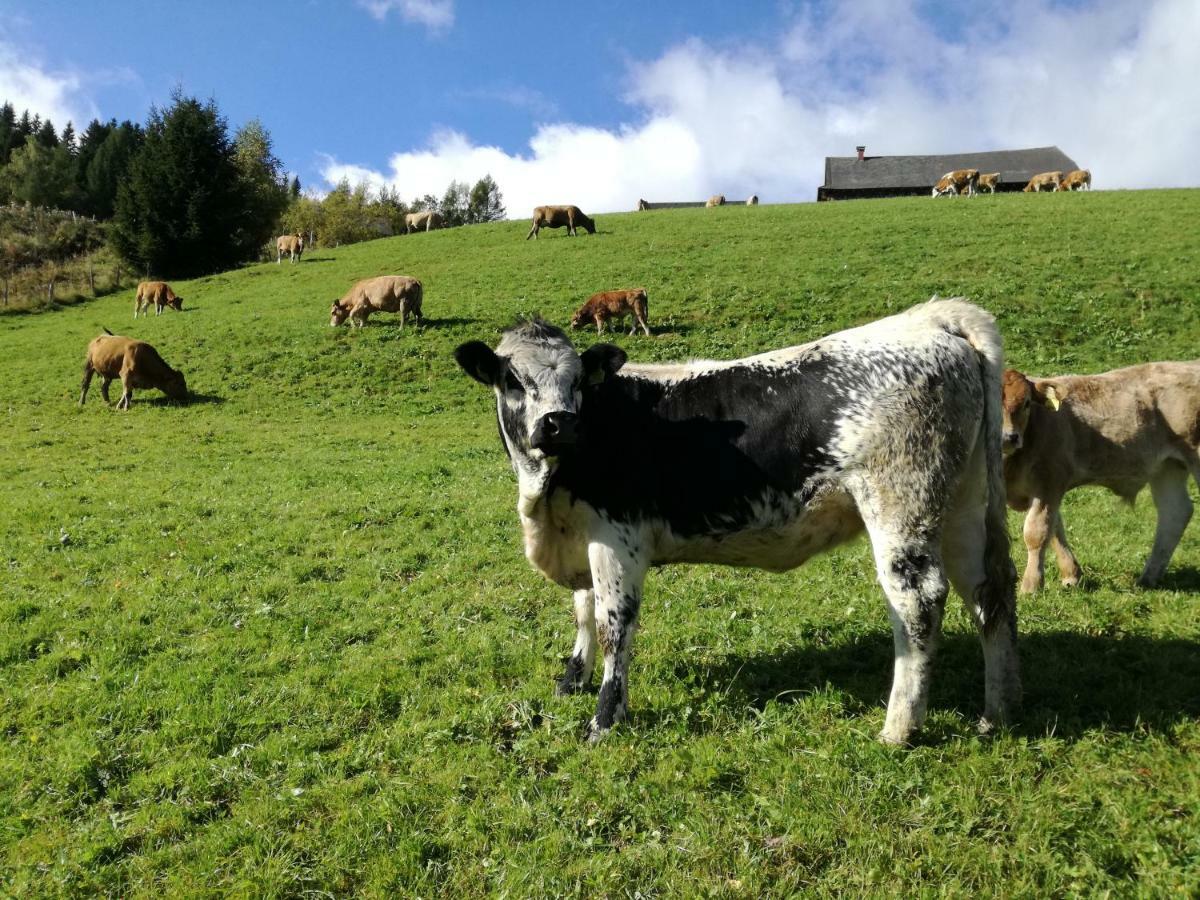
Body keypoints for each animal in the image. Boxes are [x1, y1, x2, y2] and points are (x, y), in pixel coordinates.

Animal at [453, 297, 1017, 748]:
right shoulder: (579, 534)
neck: (547, 495)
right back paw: (997, 712)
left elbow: (614, 625)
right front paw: (572, 679)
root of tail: (929, 318)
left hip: (900, 506)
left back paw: (898, 729)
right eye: (512, 379)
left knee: (919, 603)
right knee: (990, 592)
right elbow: (582, 611)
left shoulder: (618, 539)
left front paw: (604, 720)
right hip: (963, 505)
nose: (559, 423)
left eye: (577, 383)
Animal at [998, 362, 1200, 595]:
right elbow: (1055, 529)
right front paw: (1071, 575)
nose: (1009, 437)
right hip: (1167, 467)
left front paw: (1031, 586)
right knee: (1175, 512)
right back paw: (1148, 578)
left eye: (1027, 403)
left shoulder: (1049, 482)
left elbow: (1037, 533)